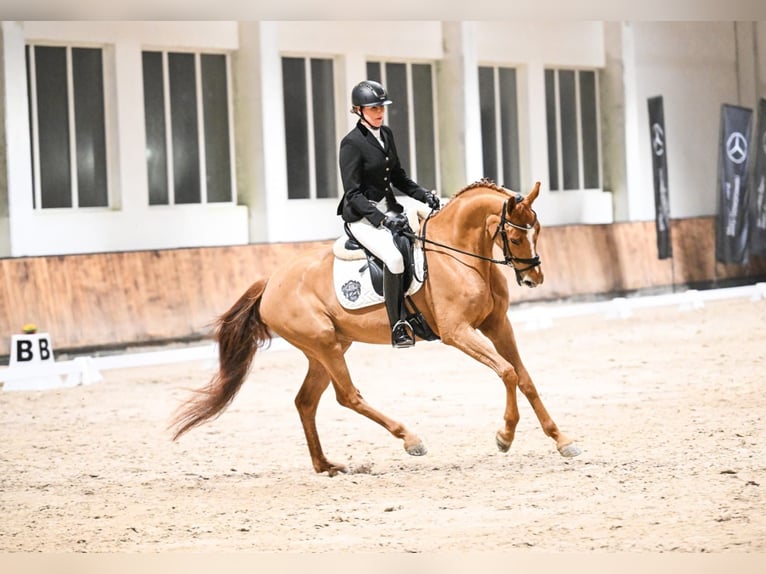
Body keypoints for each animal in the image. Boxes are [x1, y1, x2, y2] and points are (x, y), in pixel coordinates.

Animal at [172, 180, 584, 476]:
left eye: (537, 230)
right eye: (514, 236)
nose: (533, 279)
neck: (460, 255)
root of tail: (270, 282)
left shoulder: (497, 325)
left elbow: (524, 377)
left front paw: (562, 440)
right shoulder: (458, 333)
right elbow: (507, 371)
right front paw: (504, 436)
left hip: (326, 348)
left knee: (306, 401)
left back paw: (327, 466)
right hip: (325, 344)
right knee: (347, 396)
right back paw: (410, 439)